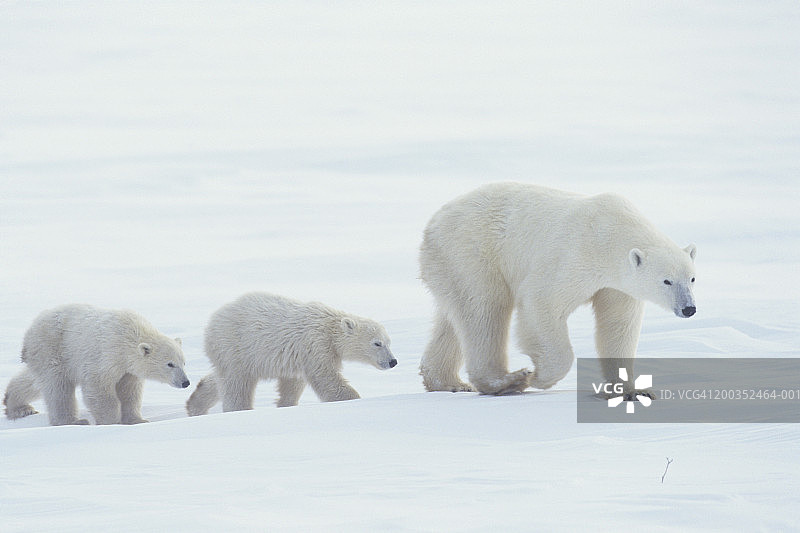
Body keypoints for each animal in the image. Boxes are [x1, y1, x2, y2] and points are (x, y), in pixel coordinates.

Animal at [3, 304, 190, 425]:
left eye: (183, 362)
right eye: (170, 364)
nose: (185, 382)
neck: (129, 334)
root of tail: (29, 332)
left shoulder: (128, 370)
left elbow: (130, 392)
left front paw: (138, 420)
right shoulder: (106, 355)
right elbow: (99, 388)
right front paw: (111, 421)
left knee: (34, 382)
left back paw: (17, 406)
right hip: (54, 349)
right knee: (58, 388)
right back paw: (74, 421)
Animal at [185, 292, 397, 415]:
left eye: (389, 342)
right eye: (377, 343)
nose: (393, 361)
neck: (329, 326)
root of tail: (212, 322)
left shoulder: (299, 357)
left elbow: (293, 384)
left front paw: (285, 404)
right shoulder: (316, 345)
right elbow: (327, 379)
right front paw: (354, 400)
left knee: (220, 378)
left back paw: (195, 405)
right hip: (235, 345)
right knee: (236, 383)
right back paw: (239, 409)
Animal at [419, 182, 697, 396]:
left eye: (692, 278)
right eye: (667, 281)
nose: (689, 308)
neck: (610, 232)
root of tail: (433, 222)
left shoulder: (617, 286)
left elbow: (618, 325)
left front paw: (632, 391)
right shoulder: (575, 256)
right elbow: (541, 302)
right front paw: (539, 377)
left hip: (451, 266)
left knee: (454, 319)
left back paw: (448, 382)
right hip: (472, 252)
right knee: (484, 310)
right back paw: (509, 380)